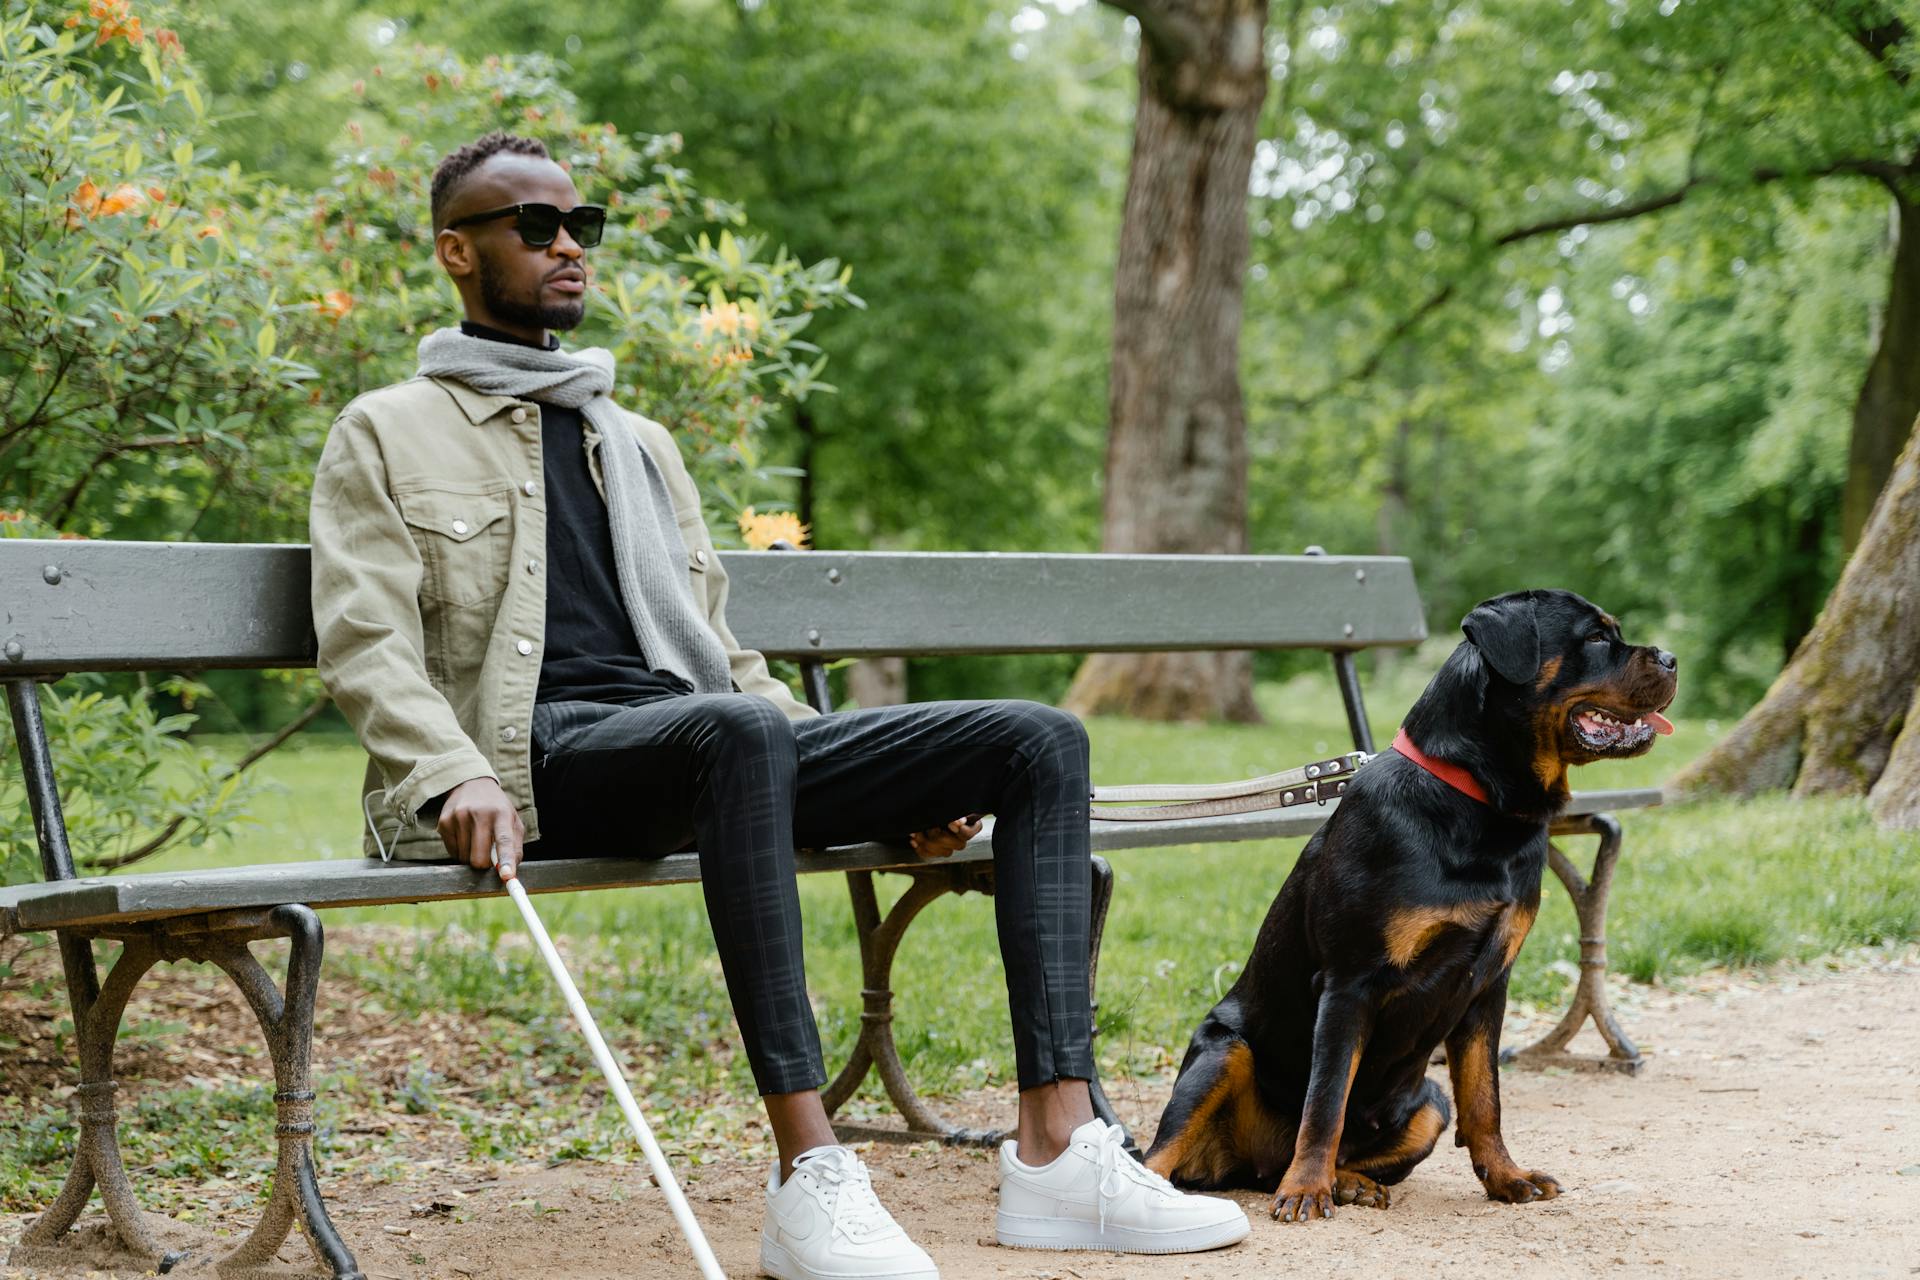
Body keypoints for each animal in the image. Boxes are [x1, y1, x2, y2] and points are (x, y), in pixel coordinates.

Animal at [1144, 591, 1674, 1220]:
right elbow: (1325, 1101)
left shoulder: (1489, 985)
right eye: (1594, 637)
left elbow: (1485, 1100)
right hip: (1224, 1052)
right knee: (1159, 1153)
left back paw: (1348, 1182)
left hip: (1428, 1104)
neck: (1480, 804)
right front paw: (1305, 1191)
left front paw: (1506, 1177)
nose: (1671, 658)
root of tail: (1250, 1164)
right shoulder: (1350, 983)